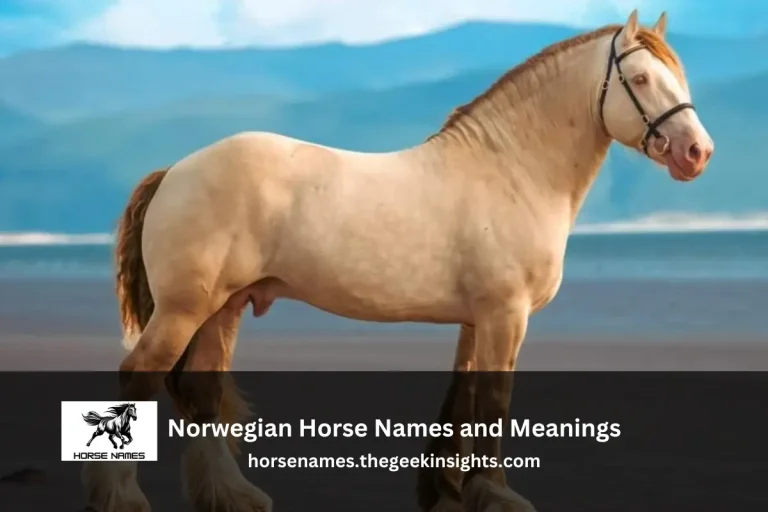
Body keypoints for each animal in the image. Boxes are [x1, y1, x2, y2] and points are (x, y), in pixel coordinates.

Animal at [81, 10, 714, 512]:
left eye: (677, 77)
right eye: (640, 78)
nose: (697, 152)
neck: (510, 170)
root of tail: (175, 171)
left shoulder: (476, 321)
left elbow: (462, 404)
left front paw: (448, 493)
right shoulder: (505, 317)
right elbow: (494, 405)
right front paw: (499, 497)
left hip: (222, 309)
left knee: (201, 393)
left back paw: (234, 496)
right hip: (184, 310)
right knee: (139, 378)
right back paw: (123, 498)